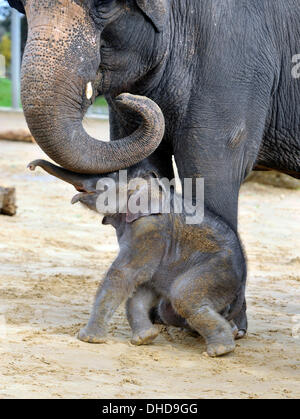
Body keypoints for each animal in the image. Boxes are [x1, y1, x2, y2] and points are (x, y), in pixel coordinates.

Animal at [8, 0, 300, 338]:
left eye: (104, 5)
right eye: (21, 8)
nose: (127, 97)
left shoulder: (234, 62)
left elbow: (208, 168)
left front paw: (226, 327)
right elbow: (147, 166)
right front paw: (158, 316)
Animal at [28, 158, 246, 358]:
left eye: (108, 178)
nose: (30, 166)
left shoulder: (149, 228)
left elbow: (123, 274)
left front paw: (87, 338)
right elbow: (140, 287)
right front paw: (145, 338)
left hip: (218, 271)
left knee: (183, 298)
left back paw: (220, 350)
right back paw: (230, 333)